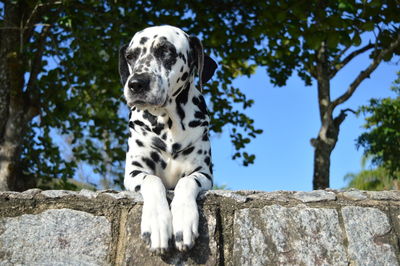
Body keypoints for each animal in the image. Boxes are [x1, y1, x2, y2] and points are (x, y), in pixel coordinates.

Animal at [119, 25, 217, 254]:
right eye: (130, 56)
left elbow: (187, 182)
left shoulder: (203, 174)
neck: (168, 125)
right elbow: (153, 181)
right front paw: (157, 222)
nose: (136, 84)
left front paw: (183, 219)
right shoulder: (134, 172)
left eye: (166, 51)